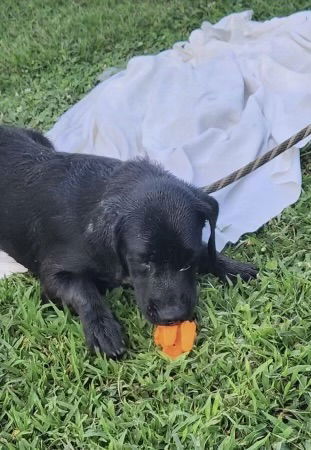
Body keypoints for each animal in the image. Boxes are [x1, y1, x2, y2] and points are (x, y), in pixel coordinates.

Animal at [0, 126, 258, 358]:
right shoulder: (52, 275)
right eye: (143, 263)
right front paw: (102, 329)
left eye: (188, 262)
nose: (172, 317)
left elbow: (207, 251)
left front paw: (232, 268)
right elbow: (83, 290)